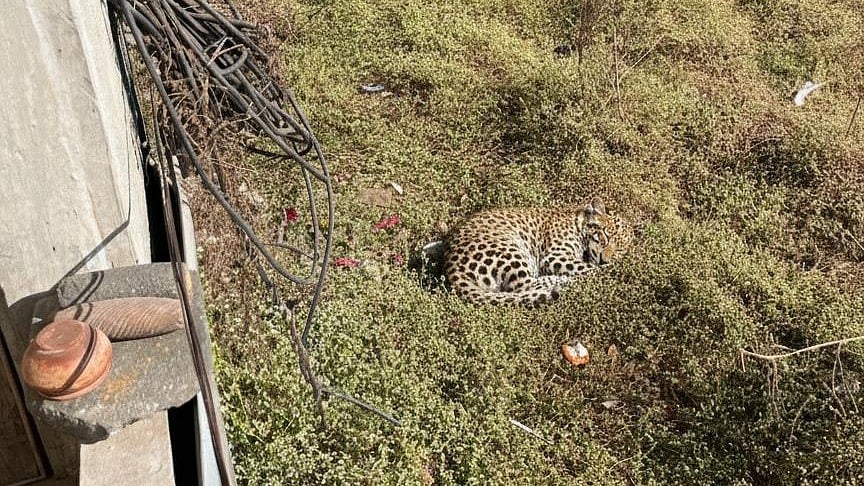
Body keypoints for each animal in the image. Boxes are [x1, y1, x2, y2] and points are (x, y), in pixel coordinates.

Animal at [444, 199, 630, 305]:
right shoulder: (556, 256)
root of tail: (451, 268)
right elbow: (592, 269)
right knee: (523, 287)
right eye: (606, 235)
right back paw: (564, 281)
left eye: (620, 249)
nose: (604, 259)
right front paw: (614, 272)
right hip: (510, 251)